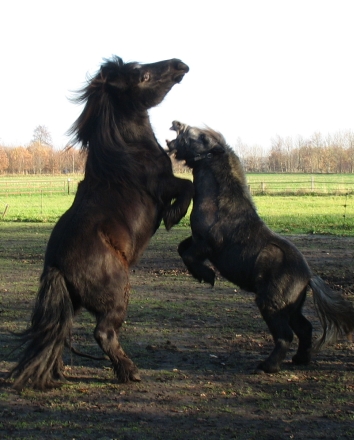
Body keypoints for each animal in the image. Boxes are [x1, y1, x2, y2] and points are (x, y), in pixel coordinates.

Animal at [167, 122, 354, 372]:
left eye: (202, 137)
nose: (177, 124)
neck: (220, 205)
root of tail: (308, 276)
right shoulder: (196, 239)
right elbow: (181, 249)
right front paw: (203, 276)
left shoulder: (206, 245)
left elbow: (188, 256)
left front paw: (208, 276)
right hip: (291, 309)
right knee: (305, 329)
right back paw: (299, 359)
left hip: (271, 306)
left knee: (285, 336)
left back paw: (268, 365)